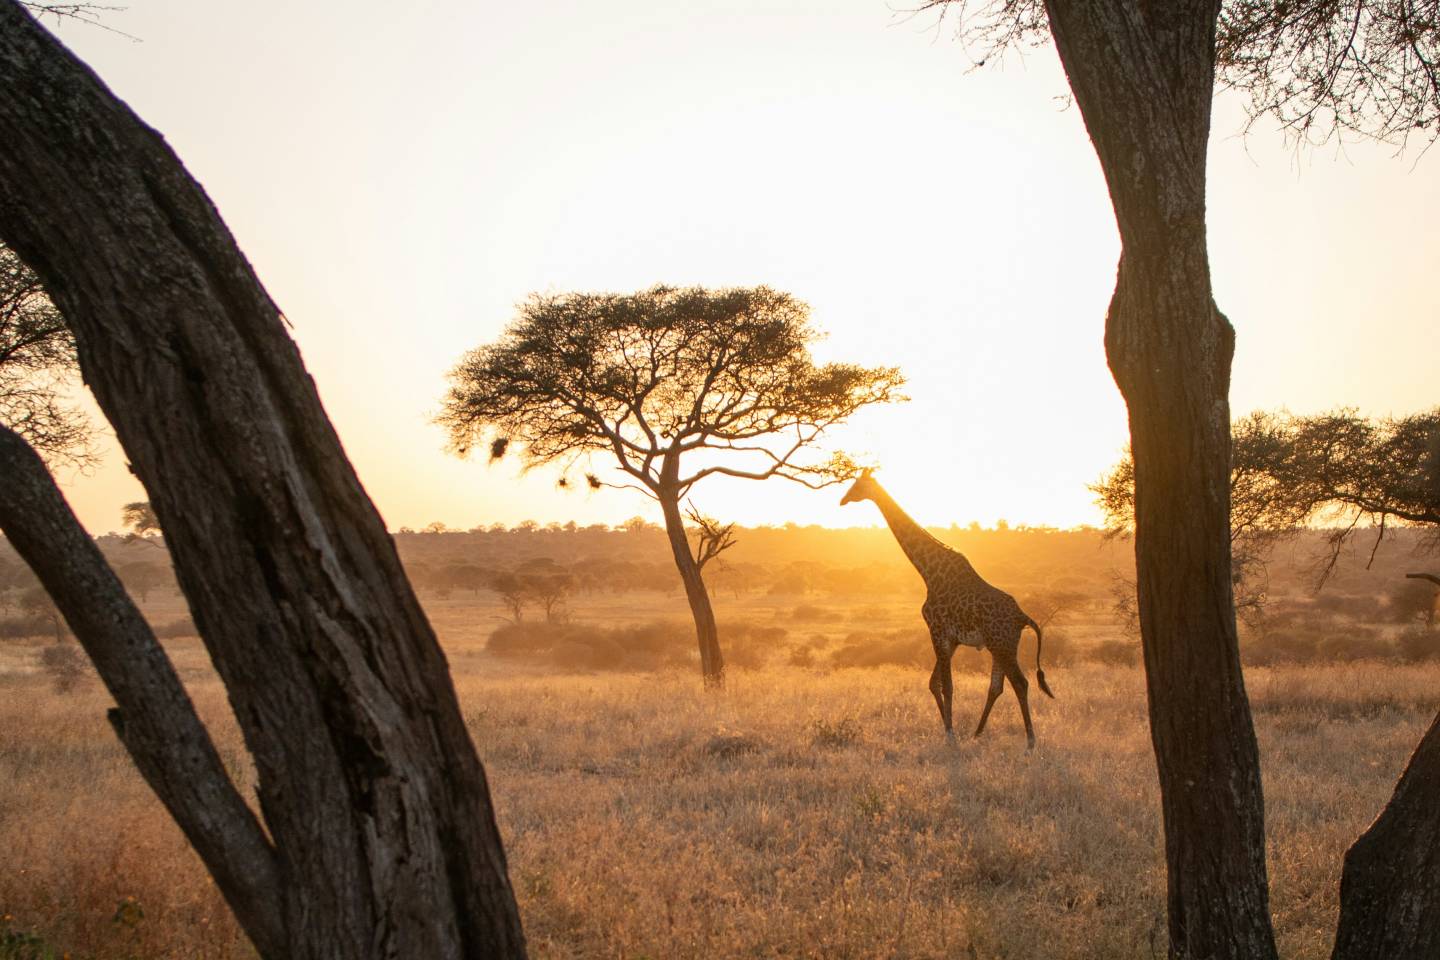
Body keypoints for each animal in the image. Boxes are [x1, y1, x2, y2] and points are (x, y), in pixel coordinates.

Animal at [840, 470, 1054, 748]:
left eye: (857, 485)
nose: (842, 500)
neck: (929, 572)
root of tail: (1022, 616)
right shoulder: (950, 639)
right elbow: (934, 683)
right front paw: (948, 730)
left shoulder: (938, 631)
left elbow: (947, 685)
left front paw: (950, 734)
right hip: (1000, 646)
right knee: (997, 686)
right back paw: (977, 733)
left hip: (1002, 644)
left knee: (1020, 683)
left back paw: (1029, 741)